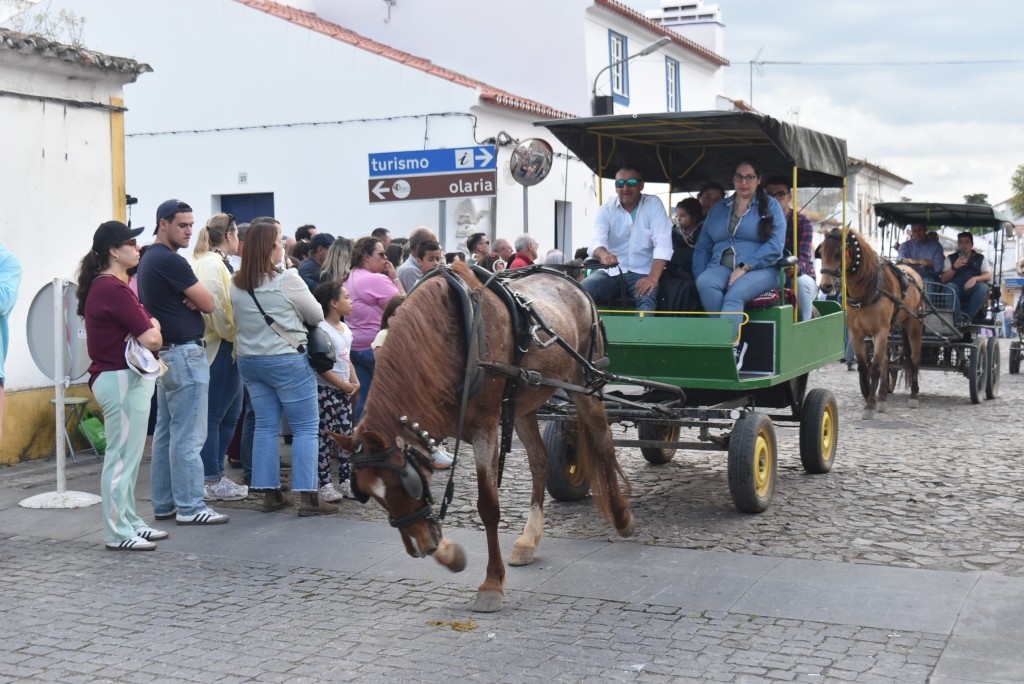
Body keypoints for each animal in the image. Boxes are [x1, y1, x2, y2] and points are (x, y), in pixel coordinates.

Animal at [332, 262, 634, 613]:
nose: (419, 548)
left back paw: (622, 517)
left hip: (586, 385)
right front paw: (449, 554)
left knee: (603, 442)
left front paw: (491, 583)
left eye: (403, 485)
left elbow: (488, 506)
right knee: (540, 461)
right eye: (369, 493)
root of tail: (568, 278)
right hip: (523, 404)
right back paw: (529, 538)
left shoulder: (485, 429)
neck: (452, 336)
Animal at [818, 228, 925, 419]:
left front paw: (869, 405)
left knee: (914, 359)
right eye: (821, 252)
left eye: (838, 253)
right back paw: (882, 397)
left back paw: (913, 395)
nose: (825, 286)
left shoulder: (880, 331)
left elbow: (874, 367)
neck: (867, 288)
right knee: (886, 361)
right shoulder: (855, 334)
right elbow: (863, 366)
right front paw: (869, 395)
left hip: (913, 325)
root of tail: (913, 273)